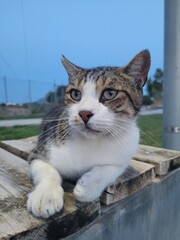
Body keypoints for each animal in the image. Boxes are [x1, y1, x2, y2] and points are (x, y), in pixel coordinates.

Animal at [26, 49, 150, 218]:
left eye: (110, 93)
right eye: (75, 94)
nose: (84, 113)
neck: (91, 140)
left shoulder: (126, 150)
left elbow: (112, 168)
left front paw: (87, 187)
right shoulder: (39, 151)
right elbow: (46, 168)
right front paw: (46, 196)